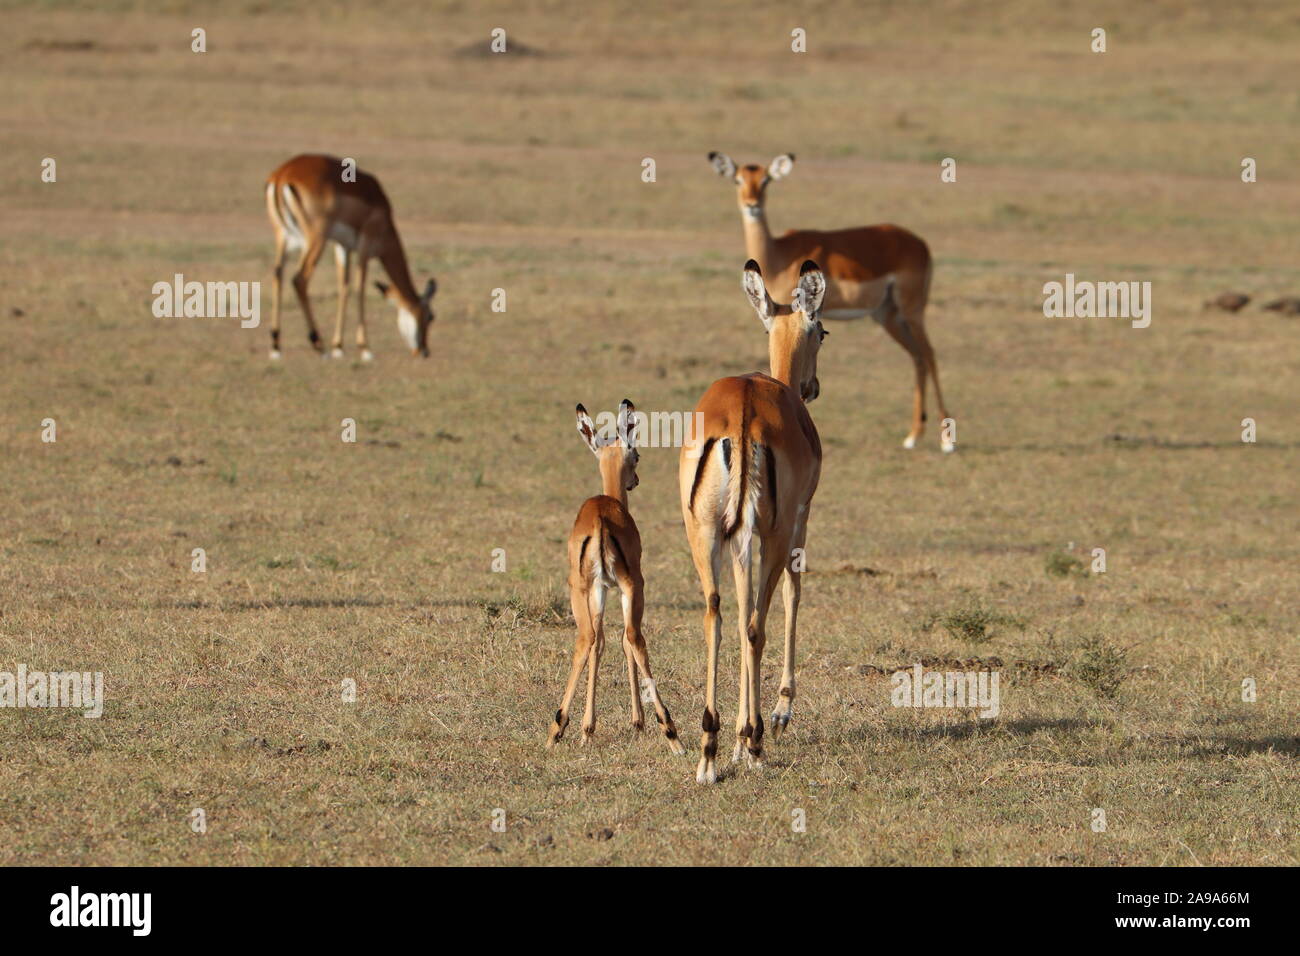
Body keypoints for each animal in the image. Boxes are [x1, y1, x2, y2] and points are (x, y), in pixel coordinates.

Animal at [265, 154, 437, 360]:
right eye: (430, 316)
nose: (424, 351)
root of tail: (282, 175)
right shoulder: (364, 246)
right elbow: (359, 288)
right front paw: (365, 348)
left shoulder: (343, 247)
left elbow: (344, 287)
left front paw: (338, 346)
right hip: (315, 239)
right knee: (299, 279)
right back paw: (319, 345)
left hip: (283, 238)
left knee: (277, 274)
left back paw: (276, 345)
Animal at [547, 399, 685, 756]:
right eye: (636, 453)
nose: (635, 480)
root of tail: (599, 520)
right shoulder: (626, 587)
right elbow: (624, 640)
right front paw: (637, 722)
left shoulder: (601, 590)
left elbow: (600, 643)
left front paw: (587, 730)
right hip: (631, 586)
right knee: (633, 637)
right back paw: (672, 733)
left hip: (582, 589)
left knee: (586, 639)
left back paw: (557, 728)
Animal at [680, 259, 827, 785]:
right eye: (823, 330)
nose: (812, 387)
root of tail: (742, 408)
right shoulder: (796, 523)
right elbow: (791, 595)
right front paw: (774, 718)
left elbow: (740, 606)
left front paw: (735, 742)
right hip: (771, 534)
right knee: (756, 623)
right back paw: (756, 739)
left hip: (704, 532)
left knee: (717, 616)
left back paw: (708, 749)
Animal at [708, 152, 952, 452]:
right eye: (738, 179)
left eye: (765, 180)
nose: (751, 205)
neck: (778, 254)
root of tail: (920, 243)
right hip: (888, 316)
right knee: (918, 356)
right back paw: (913, 435)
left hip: (912, 310)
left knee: (929, 354)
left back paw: (945, 441)